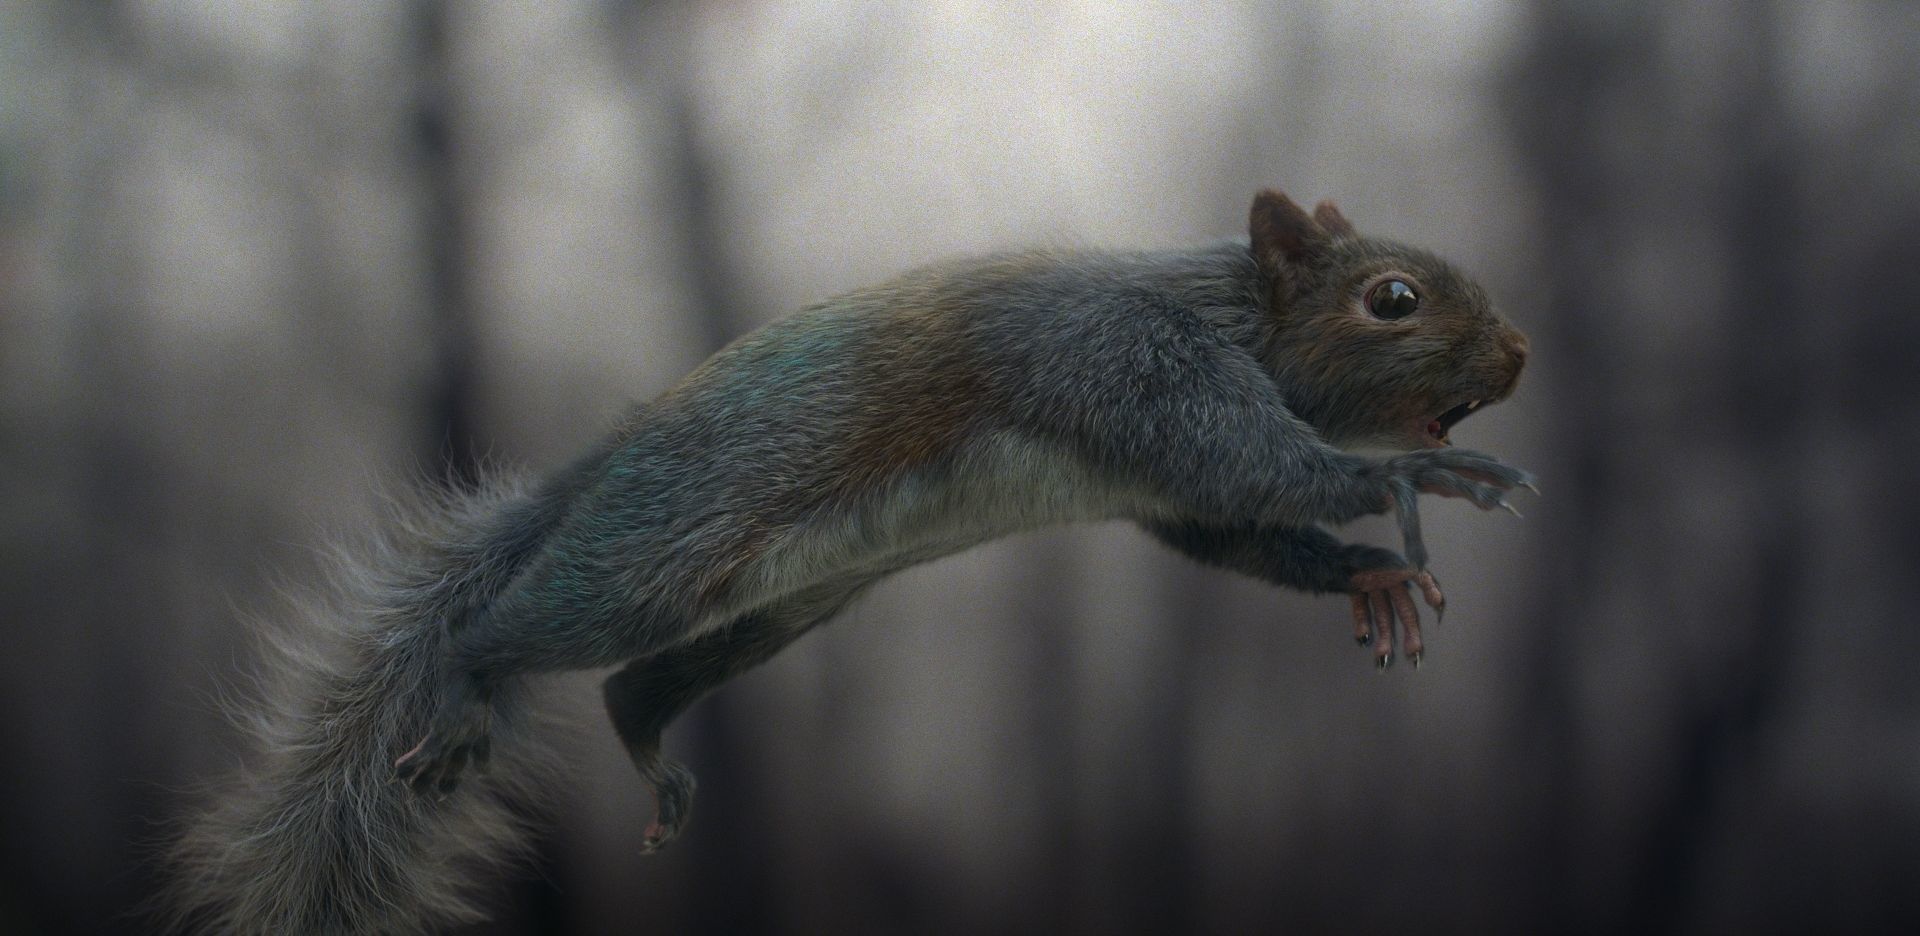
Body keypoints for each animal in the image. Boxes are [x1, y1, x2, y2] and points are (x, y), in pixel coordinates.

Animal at [166, 189, 1532, 934]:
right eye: (1393, 299)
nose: (1520, 356)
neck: (1231, 310)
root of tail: (601, 464)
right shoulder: (1137, 368)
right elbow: (1259, 467)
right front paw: (1415, 487)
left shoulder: (1164, 480)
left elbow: (1226, 528)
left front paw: (1370, 575)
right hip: (662, 553)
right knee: (510, 629)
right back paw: (460, 683)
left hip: (780, 607)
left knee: (632, 685)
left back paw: (647, 748)